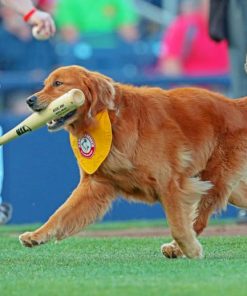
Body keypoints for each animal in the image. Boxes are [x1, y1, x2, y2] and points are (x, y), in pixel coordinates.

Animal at [18, 65, 247, 260]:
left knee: (199, 218)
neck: (109, 119)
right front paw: (37, 235)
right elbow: (60, 214)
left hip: (215, 179)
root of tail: (235, 105)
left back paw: (178, 248)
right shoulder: (94, 185)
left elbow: (178, 226)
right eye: (45, 84)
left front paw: (191, 250)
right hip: (231, 188)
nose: (29, 100)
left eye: (58, 84)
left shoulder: (170, 183)